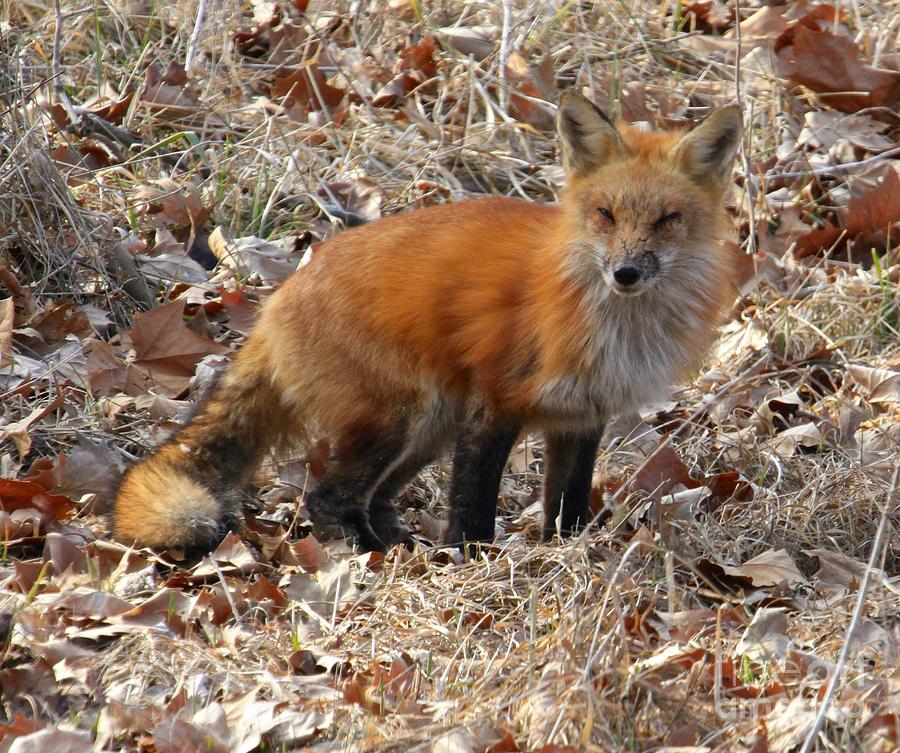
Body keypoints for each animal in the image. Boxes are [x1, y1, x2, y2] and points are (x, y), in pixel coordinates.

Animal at [112, 94, 740, 552]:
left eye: (667, 220)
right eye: (606, 214)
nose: (626, 273)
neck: (614, 325)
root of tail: (280, 299)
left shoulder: (582, 415)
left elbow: (568, 507)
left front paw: (567, 557)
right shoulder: (496, 400)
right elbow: (472, 503)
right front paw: (474, 563)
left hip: (430, 430)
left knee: (373, 497)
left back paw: (398, 543)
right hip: (400, 418)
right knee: (328, 499)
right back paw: (379, 555)